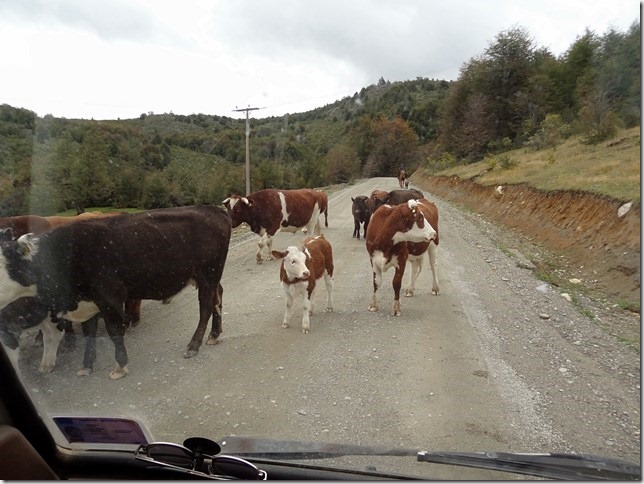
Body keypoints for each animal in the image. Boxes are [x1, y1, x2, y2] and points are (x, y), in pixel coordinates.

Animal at [0, 204, 231, 378]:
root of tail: (212, 209)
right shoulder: (87, 302)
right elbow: (89, 332)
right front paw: (86, 365)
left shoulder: (110, 296)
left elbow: (114, 331)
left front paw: (120, 365)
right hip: (209, 278)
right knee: (217, 298)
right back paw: (214, 334)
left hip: (208, 274)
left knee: (206, 307)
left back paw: (194, 344)